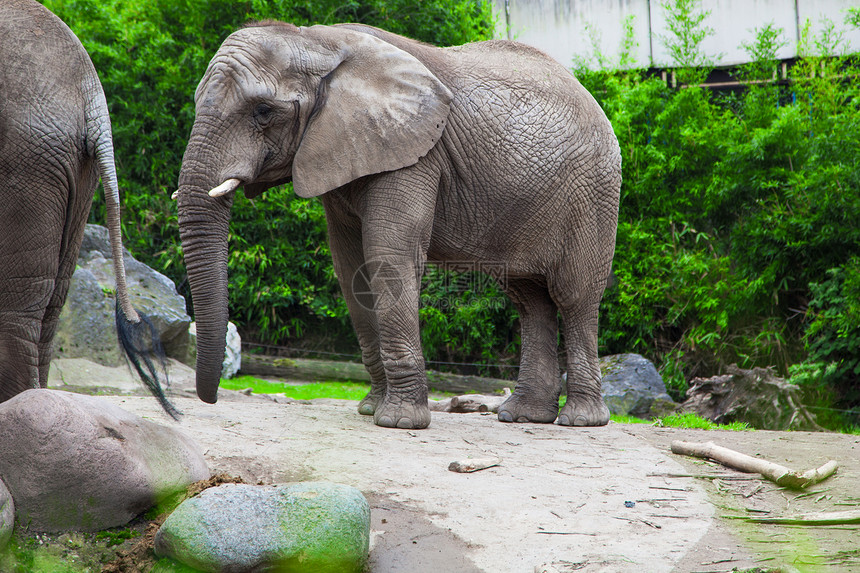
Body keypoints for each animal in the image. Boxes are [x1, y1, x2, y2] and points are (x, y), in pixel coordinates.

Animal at [176, 21, 620, 428]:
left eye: (263, 112)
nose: (211, 399)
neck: (319, 41)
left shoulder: (415, 153)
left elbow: (388, 254)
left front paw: (399, 421)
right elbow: (350, 266)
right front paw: (371, 409)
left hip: (593, 194)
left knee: (574, 296)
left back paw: (580, 420)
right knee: (529, 298)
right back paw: (523, 416)